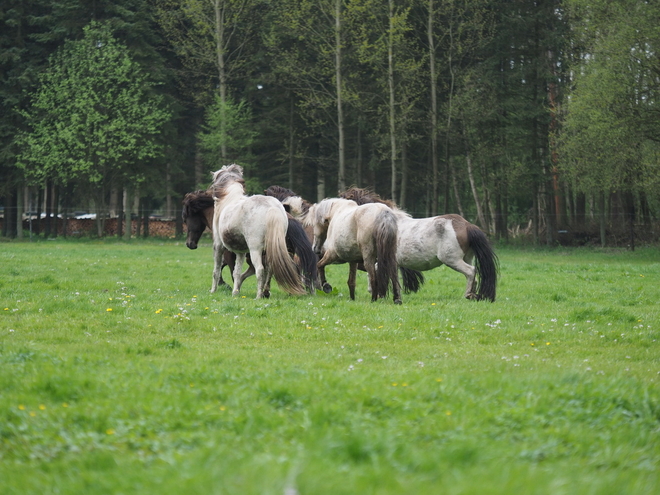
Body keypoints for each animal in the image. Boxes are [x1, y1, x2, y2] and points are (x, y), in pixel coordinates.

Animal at [211, 166, 314, 298]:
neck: (229, 199)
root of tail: (272, 207)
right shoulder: (240, 252)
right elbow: (236, 272)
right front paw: (235, 293)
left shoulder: (218, 245)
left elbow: (217, 270)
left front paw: (213, 291)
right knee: (270, 269)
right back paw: (265, 292)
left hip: (255, 250)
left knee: (260, 269)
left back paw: (259, 296)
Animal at [340, 187, 500, 300]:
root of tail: (466, 225)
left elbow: (376, 272)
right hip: (466, 257)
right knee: (474, 275)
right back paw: (473, 295)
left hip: (452, 260)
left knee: (471, 271)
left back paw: (468, 295)